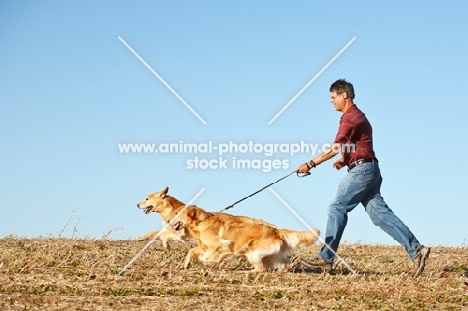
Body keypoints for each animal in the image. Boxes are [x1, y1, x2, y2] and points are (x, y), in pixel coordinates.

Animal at [172, 207, 322, 272]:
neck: (201, 222)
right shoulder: (205, 247)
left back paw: (247, 271)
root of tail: (276, 230)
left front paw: (211, 261)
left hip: (252, 252)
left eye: (177, 213)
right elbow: (193, 251)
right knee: (284, 263)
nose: (169, 221)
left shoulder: (220, 245)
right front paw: (186, 264)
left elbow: (209, 256)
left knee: (260, 269)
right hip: (271, 255)